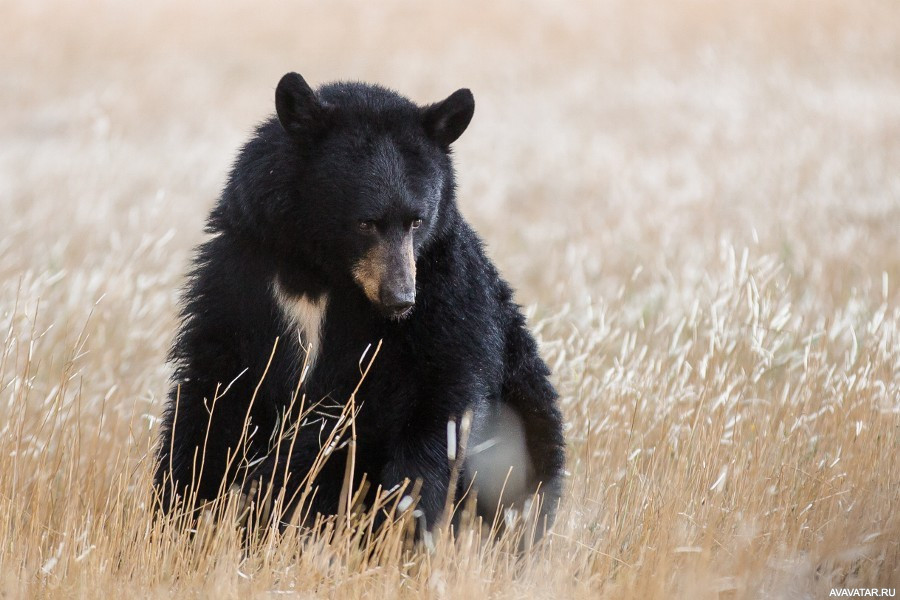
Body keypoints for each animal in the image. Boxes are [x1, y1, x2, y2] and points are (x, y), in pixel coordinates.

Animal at [153, 72, 564, 536]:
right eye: (365, 222)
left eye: (417, 220)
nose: (400, 298)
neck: (320, 271)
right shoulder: (241, 271)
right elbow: (214, 387)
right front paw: (179, 511)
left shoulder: (446, 291)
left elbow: (442, 393)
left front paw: (403, 521)